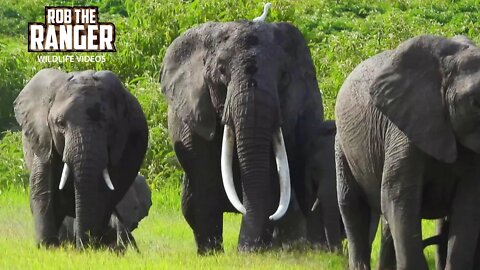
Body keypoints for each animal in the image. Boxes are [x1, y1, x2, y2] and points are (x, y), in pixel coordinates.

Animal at [14, 68, 148, 250]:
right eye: (60, 123)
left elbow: (103, 192)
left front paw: (90, 248)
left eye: (109, 126)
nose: (83, 246)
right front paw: (48, 248)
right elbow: (43, 187)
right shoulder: (43, 137)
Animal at [161, 20, 338, 253]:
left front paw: (253, 251)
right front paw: (212, 255)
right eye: (221, 71)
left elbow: (270, 181)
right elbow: (203, 178)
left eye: (283, 76)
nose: (244, 251)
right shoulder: (192, 117)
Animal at [336, 34, 480, 268]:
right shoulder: (403, 130)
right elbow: (399, 197)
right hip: (342, 144)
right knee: (353, 205)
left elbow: (468, 204)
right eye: (476, 103)